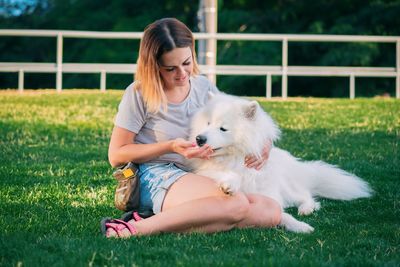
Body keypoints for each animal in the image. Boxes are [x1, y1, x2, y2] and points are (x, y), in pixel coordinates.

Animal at [189, 93, 374, 233]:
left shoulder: (268, 193)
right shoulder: (207, 171)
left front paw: (301, 226)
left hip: (288, 189)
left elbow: (281, 212)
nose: (199, 139)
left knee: (307, 197)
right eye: (208, 123)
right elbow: (229, 175)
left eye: (223, 128)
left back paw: (306, 209)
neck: (234, 159)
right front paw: (230, 185)